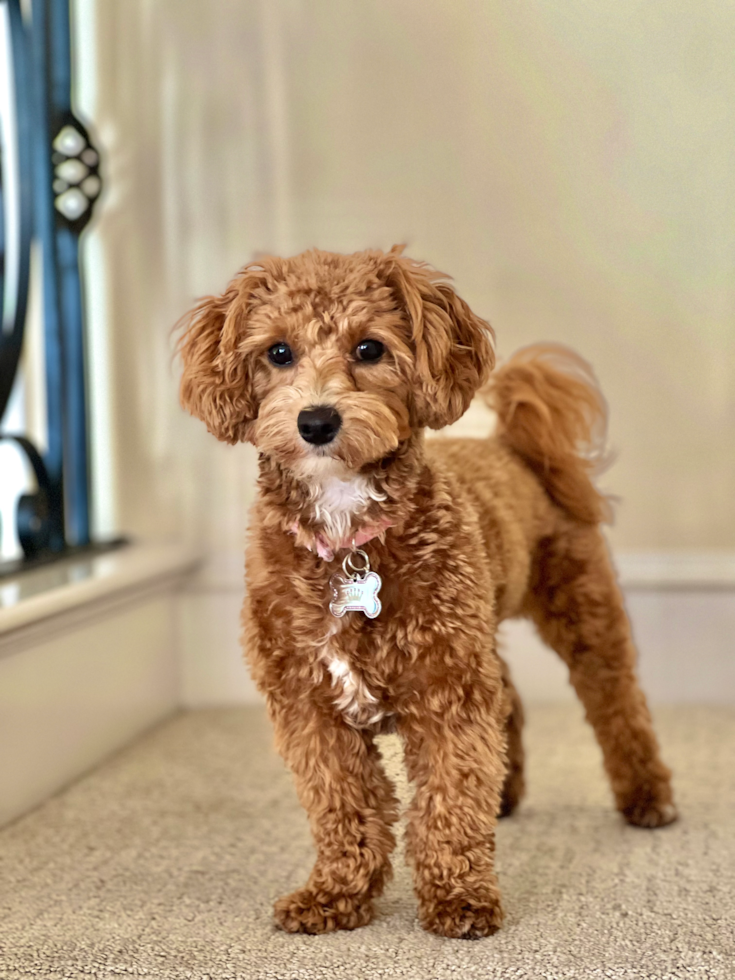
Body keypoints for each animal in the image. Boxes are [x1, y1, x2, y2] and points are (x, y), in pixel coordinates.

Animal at [178, 247, 680, 940]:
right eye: (278, 352)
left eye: (369, 347)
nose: (316, 421)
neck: (350, 537)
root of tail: (509, 445)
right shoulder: (309, 706)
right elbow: (344, 807)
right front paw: (335, 895)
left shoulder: (447, 694)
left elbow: (449, 800)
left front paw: (459, 898)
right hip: (480, 632)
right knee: (510, 702)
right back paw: (507, 794)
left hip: (582, 610)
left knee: (617, 702)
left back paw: (647, 798)